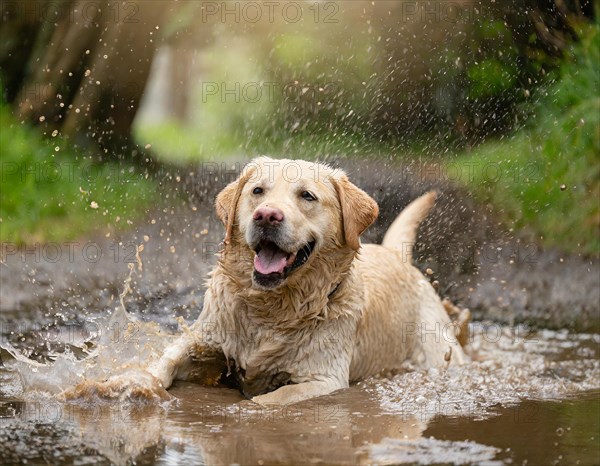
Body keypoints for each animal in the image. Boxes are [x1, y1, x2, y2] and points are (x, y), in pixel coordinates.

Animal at [148, 157, 466, 404]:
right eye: (257, 191)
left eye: (307, 196)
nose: (266, 215)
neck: (273, 308)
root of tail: (394, 254)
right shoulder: (203, 337)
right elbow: (165, 360)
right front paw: (141, 384)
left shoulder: (324, 379)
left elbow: (270, 400)